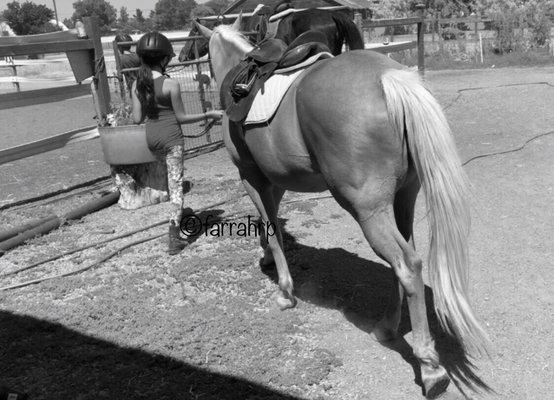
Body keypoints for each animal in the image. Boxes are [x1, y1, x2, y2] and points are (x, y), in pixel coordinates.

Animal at [196, 17, 490, 398]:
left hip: (366, 209)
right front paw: (265, 259)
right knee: (405, 260)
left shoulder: (250, 176)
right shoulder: (274, 180)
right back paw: (387, 327)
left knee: (407, 265)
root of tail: (389, 78)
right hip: (403, 199)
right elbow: (270, 221)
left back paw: (429, 367)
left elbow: (272, 228)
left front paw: (285, 292)